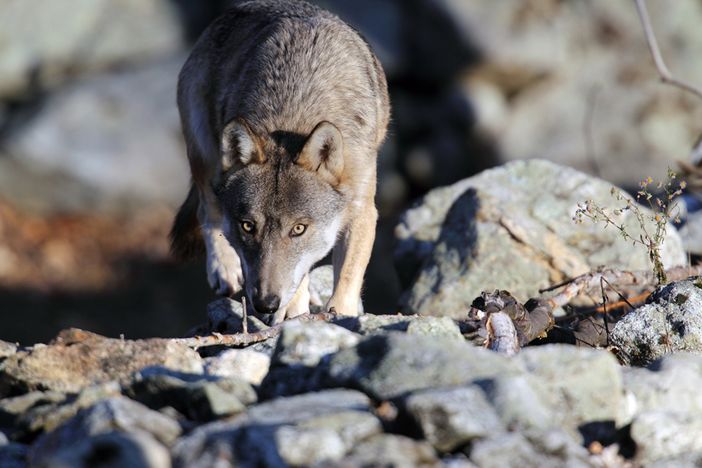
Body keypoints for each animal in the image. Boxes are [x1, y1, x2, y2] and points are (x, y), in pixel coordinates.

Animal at [170, 0, 390, 322]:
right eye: (248, 226)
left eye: (298, 229)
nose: (265, 304)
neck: (296, 111)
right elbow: (295, 288)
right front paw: (296, 316)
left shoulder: (362, 209)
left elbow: (346, 279)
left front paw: (340, 314)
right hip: (206, 155)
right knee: (206, 208)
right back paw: (224, 270)